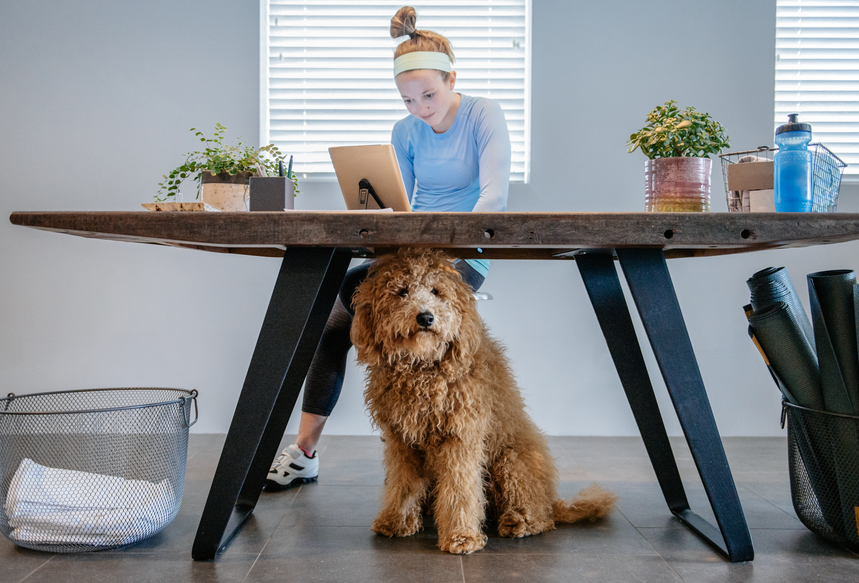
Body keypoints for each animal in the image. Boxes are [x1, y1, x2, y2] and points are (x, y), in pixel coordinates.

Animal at [350, 249, 620, 556]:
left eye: (436, 291)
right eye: (402, 291)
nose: (426, 317)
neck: (424, 368)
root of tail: (553, 500)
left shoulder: (461, 437)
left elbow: (461, 490)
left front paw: (461, 536)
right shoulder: (403, 442)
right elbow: (402, 484)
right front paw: (396, 521)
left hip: (511, 461)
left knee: (541, 515)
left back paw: (520, 521)